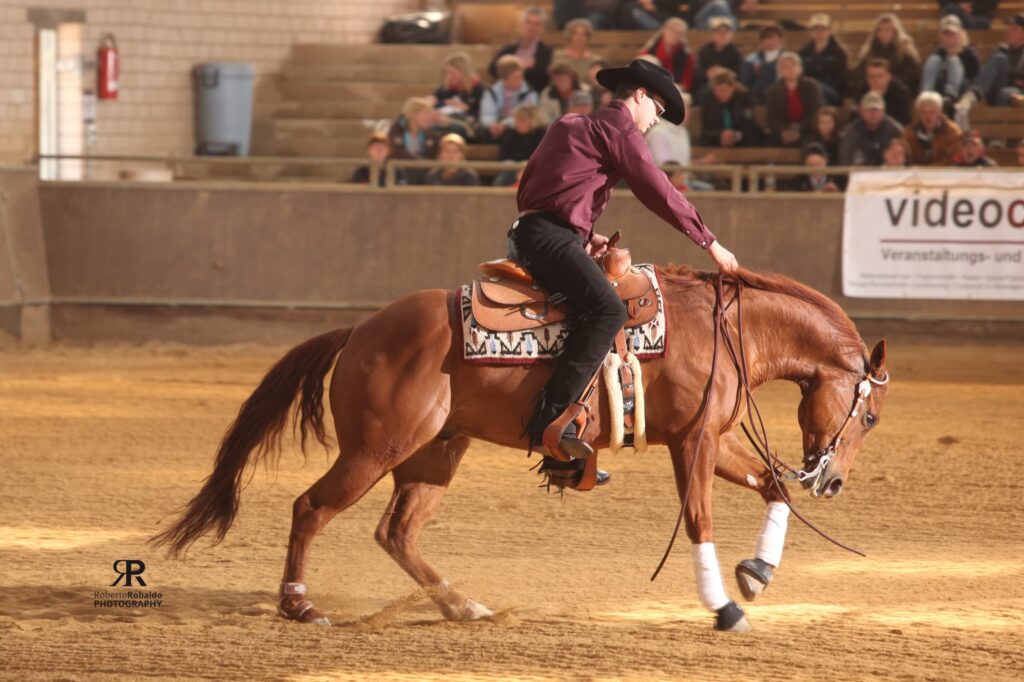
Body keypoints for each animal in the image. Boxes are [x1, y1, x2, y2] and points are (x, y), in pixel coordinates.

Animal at [151, 265, 890, 632]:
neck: (728, 329)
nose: (834, 482)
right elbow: (700, 519)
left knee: (397, 532)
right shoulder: (695, 439)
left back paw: (462, 607)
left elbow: (774, 485)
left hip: (435, 454)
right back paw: (300, 605)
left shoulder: (716, 437)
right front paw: (724, 606)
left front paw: (757, 572)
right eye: (872, 415)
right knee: (310, 508)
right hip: (376, 449)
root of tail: (359, 330)